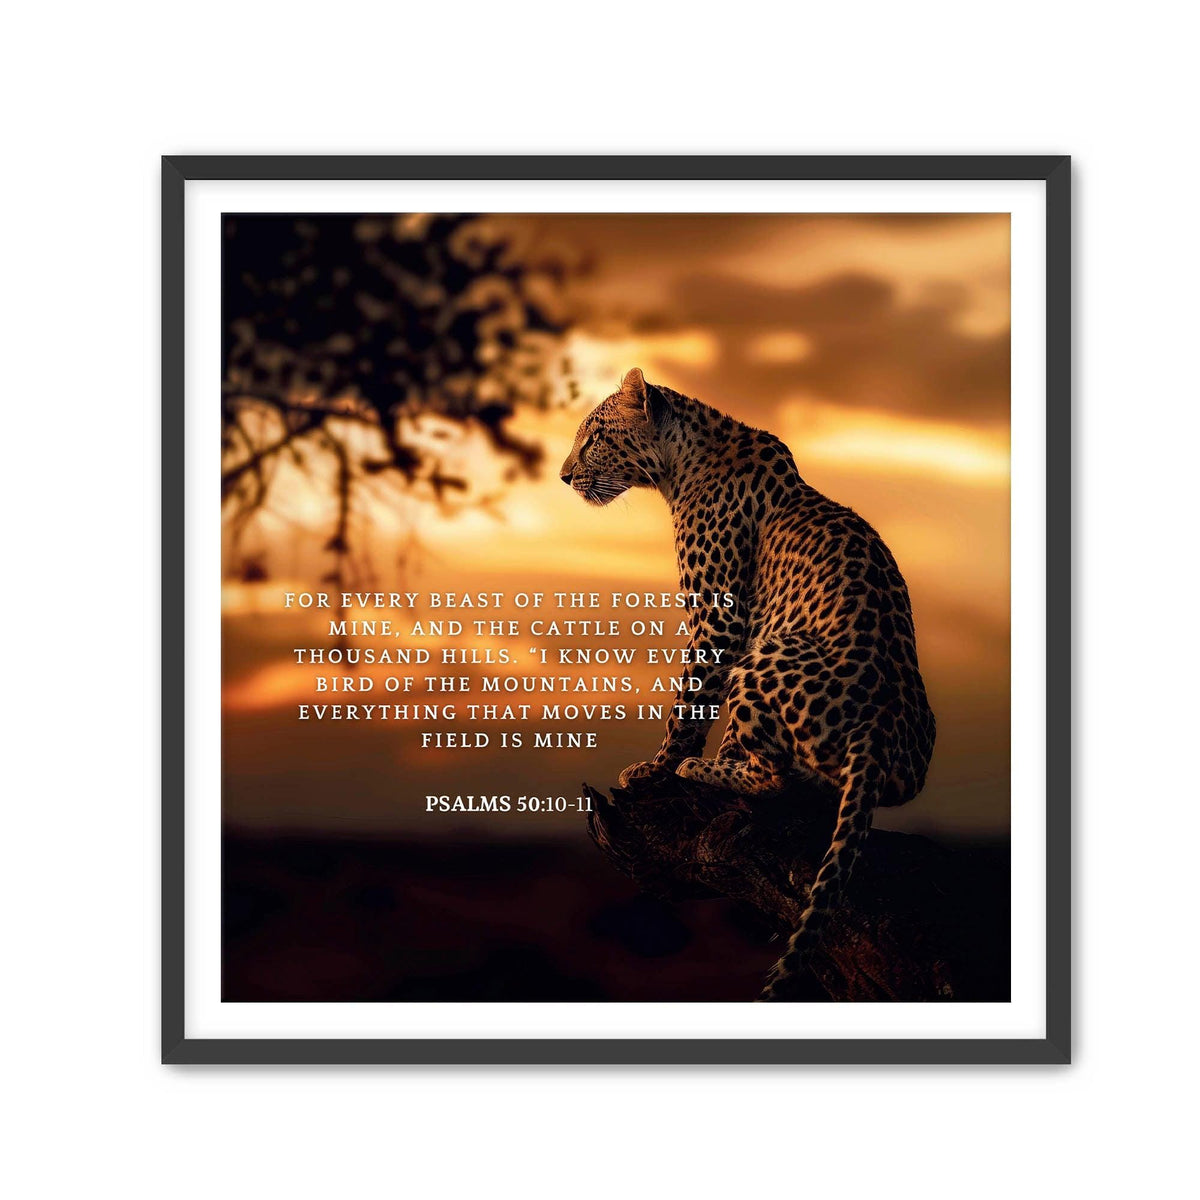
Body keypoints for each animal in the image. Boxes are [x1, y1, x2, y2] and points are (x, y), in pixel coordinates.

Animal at [560, 368, 936, 1001]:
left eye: (595, 438)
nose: (564, 477)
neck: (682, 462)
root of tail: (878, 732)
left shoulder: (719, 618)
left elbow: (689, 706)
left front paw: (656, 770)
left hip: (769, 654)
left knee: (776, 779)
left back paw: (704, 770)